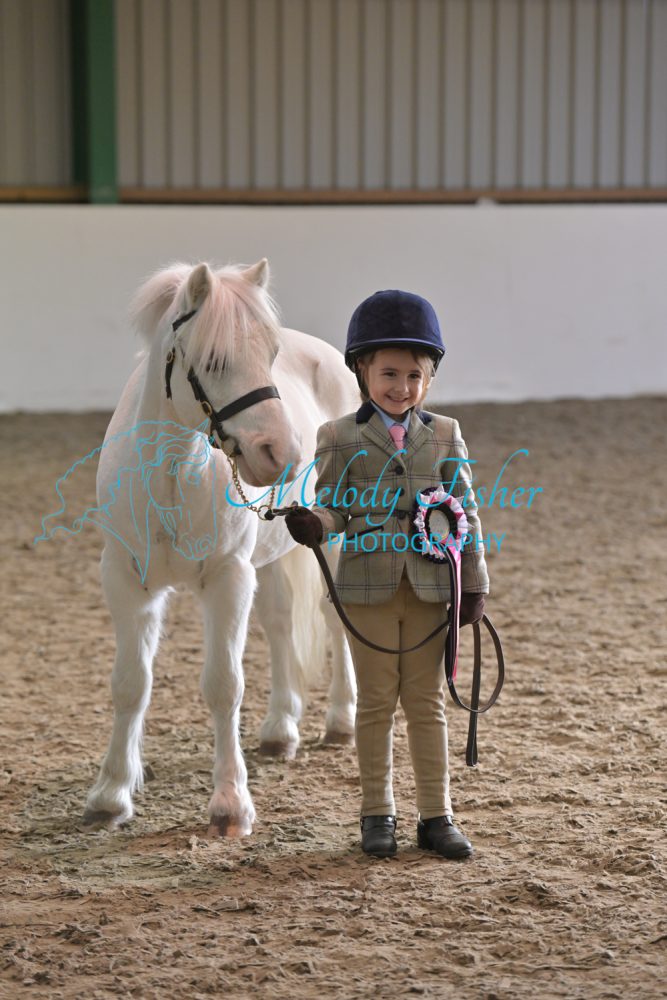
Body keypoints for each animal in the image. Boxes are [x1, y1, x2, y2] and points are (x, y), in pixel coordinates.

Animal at [82, 258, 359, 836]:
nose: (283, 452)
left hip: (332, 539)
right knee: (279, 622)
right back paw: (280, 729)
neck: (170, 477)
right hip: (274, 554)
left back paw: (341, 721)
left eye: (271, 355)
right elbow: (130, 683)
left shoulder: (228, 579)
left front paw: (231, 805)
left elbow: (224, 685)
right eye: (212, 360)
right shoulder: (126, 581)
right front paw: (112, 794)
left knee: (333, 617)